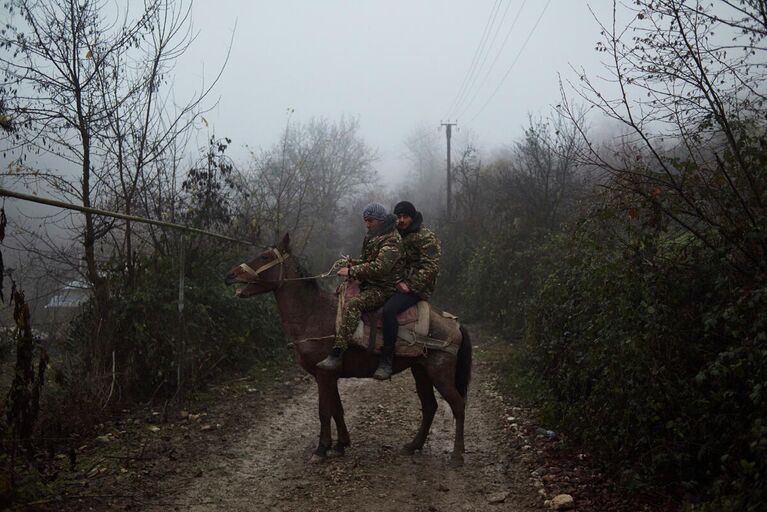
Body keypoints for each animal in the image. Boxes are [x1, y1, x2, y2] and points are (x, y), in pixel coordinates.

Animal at [225, 234, 472, 466]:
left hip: (439, 373)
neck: (313, 314)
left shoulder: (324, 374)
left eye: (265, 257)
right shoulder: (329, 374)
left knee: (458, 405)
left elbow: (324, 412)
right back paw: (414, 445)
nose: (231, 274)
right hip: (421, 371)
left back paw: (457, 455)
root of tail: (454, 324)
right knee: (430, 406)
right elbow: (337, 409)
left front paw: (321, 449)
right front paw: (340, 445)